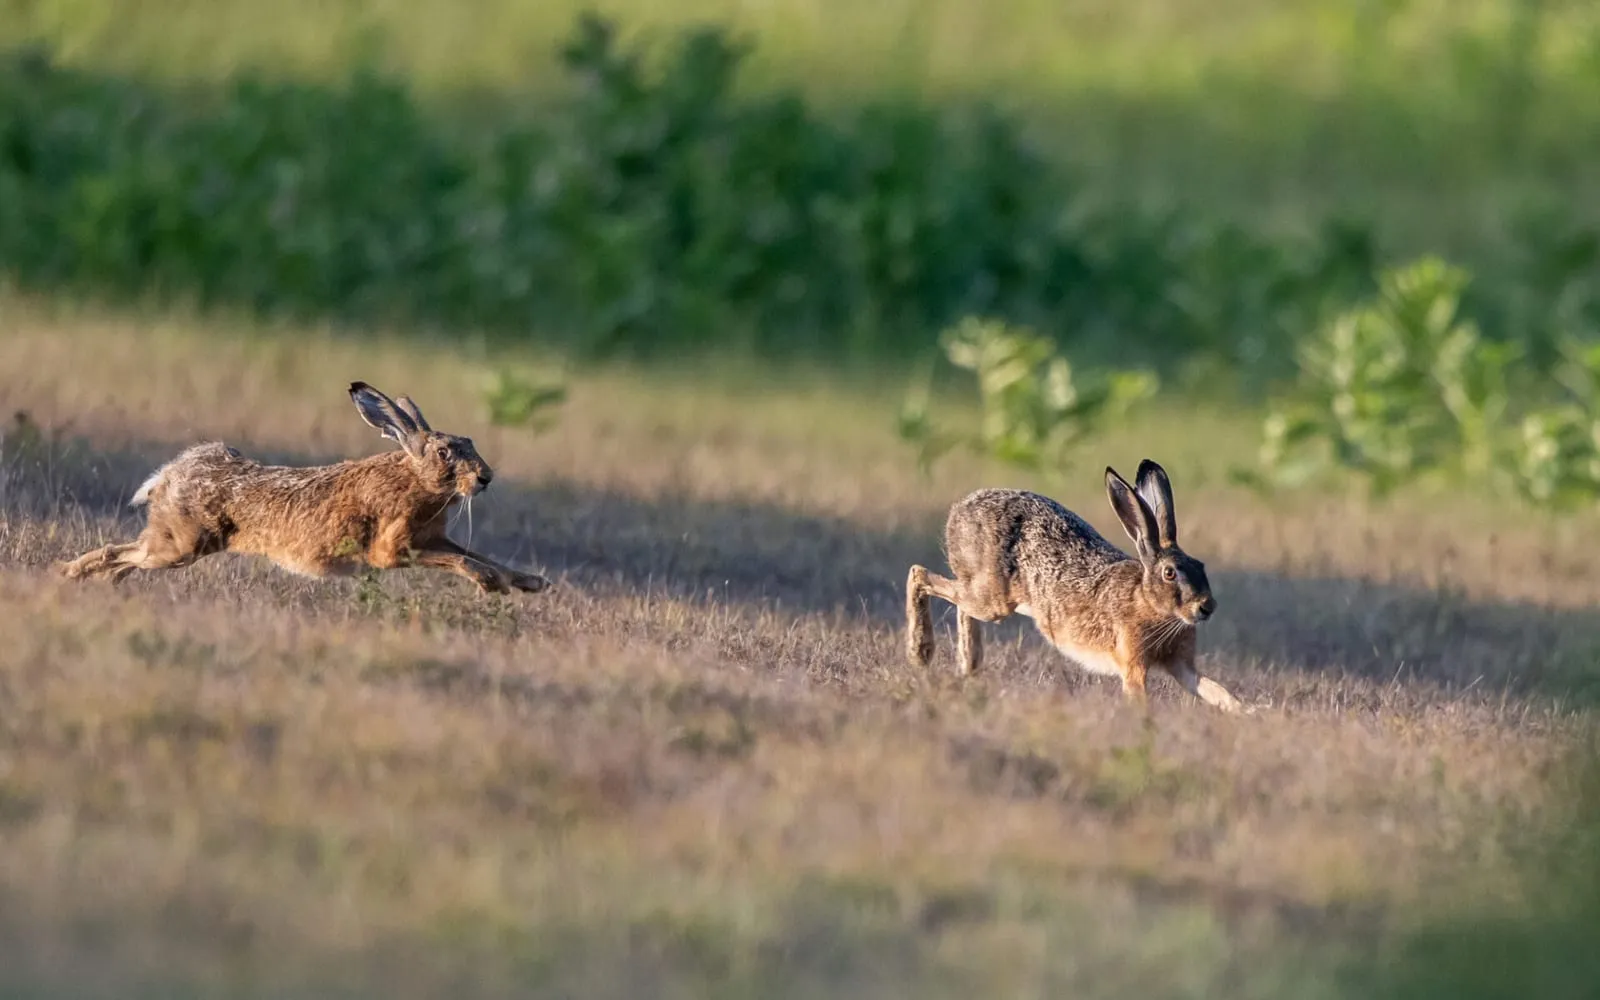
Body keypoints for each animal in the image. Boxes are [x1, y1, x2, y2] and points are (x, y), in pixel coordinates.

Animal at [60, 381, 550, 596]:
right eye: (446, 452)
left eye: (469, 442)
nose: (485, 478)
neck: (414, 478)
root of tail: (168, 475)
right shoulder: (393, 549)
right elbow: (457, 560)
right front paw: (490, 583)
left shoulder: (433, 536)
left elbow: (476, 554)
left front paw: (527, 582)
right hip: (182, 544)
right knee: (120, 551)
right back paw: (70, 575)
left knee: (128, 556)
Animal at [905, 459, 1245, 713]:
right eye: (1170, 573)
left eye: (1201, 566)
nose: (1206, 607)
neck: (1148, 602)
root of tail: (958, 511)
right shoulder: (1133, 664)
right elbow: (1139, 698)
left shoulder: (1181, 665)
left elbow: (1213, 690)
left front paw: (1246, 712)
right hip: (992, 600)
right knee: (919, 574)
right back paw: (920, 653)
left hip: (987, 596)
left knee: (959, 601)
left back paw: (968, 664)